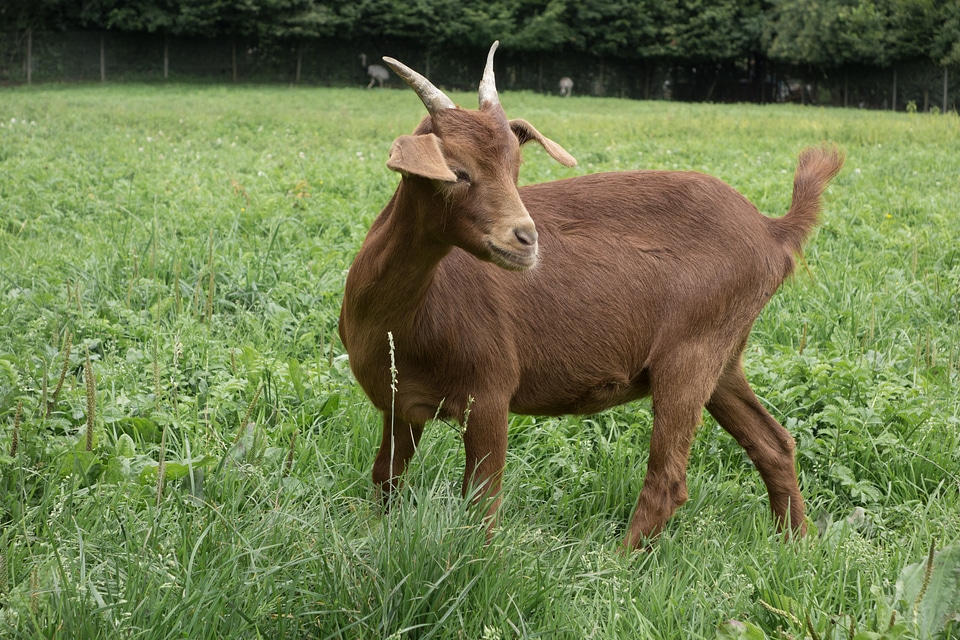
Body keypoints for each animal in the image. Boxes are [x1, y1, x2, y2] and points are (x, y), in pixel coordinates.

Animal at [336, 42, 840, 552]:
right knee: (774, 443)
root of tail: (772, 231)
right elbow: (386, 478)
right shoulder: (401, 406)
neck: (404, 316)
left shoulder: (490, 390)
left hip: (692, 350)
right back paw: (796, 545)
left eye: (515, 169)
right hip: (724, 355)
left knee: (668, 479)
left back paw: (617, 562)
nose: (526, 239)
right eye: (456, 173)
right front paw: (377, 540)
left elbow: (481, 503)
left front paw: (473, 560)